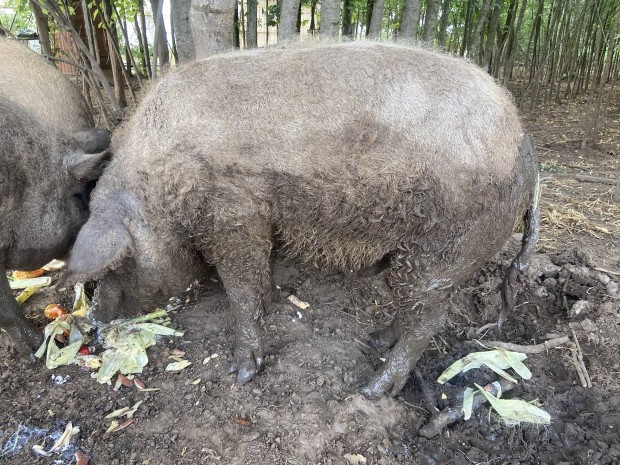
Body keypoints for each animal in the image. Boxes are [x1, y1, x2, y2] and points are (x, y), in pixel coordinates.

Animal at [64, 42, 536, 396]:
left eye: (119, 265)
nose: (94, 320)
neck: (161, 188)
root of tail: (524, 143)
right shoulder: (261, 223)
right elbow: (260, 277)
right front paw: (273, 298)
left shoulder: (234, 218)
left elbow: (240, 291)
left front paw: (242, 374)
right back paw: (375, 340)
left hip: (443, 249)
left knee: (430, 318)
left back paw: (373, 389)